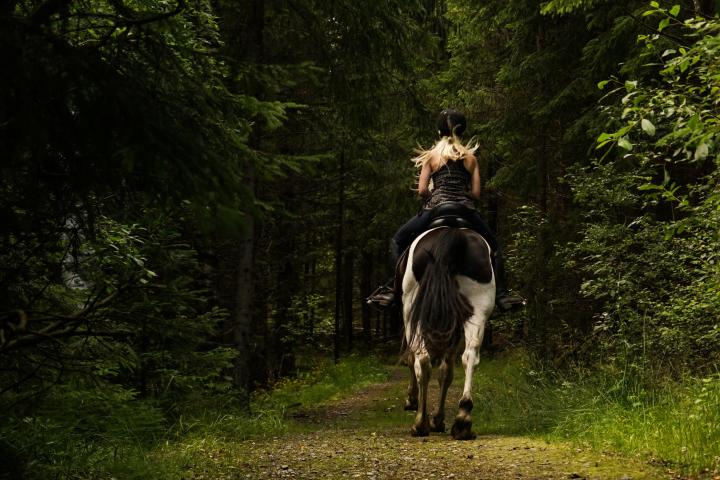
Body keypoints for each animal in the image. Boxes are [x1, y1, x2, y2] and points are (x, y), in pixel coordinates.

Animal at [396, 216, 495, 440]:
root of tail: (453, 233)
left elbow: (414, 360)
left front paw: (414, 402)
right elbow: (446, 372)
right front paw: (439, 419)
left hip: (412, 308)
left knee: (422, 360)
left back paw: (420, 424)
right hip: (478, 308)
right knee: (470, 356)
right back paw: (463, 420)